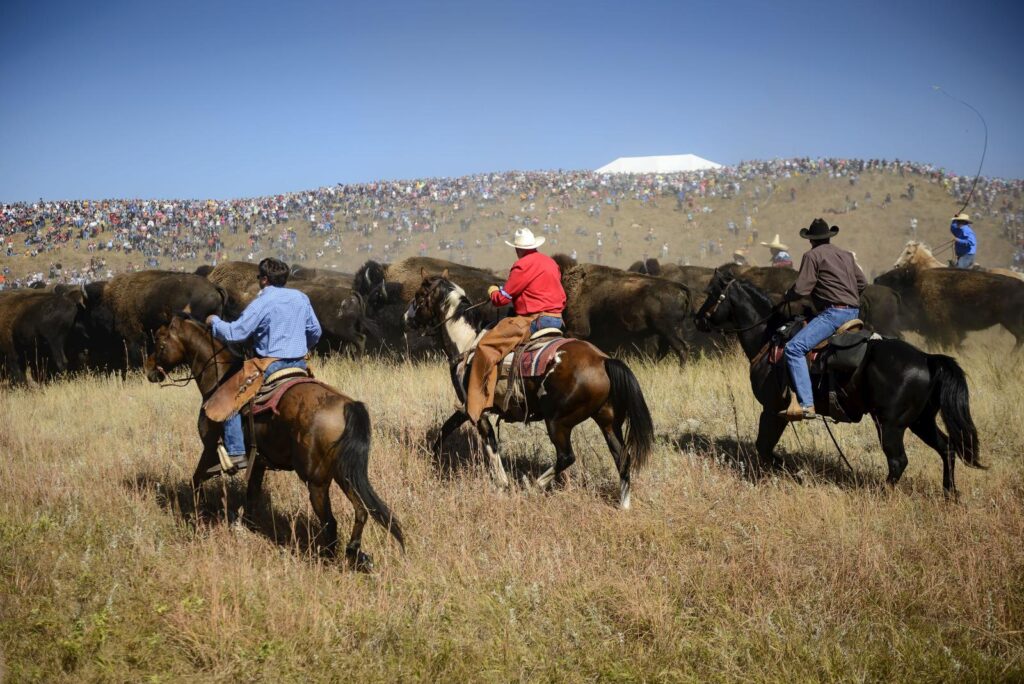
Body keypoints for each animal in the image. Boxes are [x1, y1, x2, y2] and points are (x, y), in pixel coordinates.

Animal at [143, 317, 403, 569]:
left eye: (161, 343)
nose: (149, 370)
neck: (218, 377)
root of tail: (347, 405)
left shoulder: (209, 451)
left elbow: (196, 481)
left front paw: (198, 519)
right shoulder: (257, 463)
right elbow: (251, 495)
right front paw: (248, 528)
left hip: (317, 482)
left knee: (330, 522)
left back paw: (328, 559)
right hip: (344, 475)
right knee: (361, 511)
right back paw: (354, 552)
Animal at [401, 272, 651, 507]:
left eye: (419, 297)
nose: (406, 317)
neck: (468, 344)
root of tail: (603, 360)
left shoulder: (476, 410)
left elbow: (489, 444)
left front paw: (502, 484)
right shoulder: (465, 408)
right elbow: (446, 429)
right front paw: (432, 458)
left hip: (558, 422)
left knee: (566, 457)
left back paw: (532, 487)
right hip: (607, 421)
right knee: (622, 457)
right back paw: (623, 505)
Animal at [696, 268, 983, 497]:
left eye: (711, 293)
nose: (698, 319)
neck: (770, 338)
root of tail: (926, 359)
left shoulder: (772, 409)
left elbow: (764, 448)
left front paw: (793, 474)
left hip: (891, 424)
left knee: (898, 461)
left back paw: (883, 494)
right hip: (920, 421)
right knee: (947, 448)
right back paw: (950, 493)